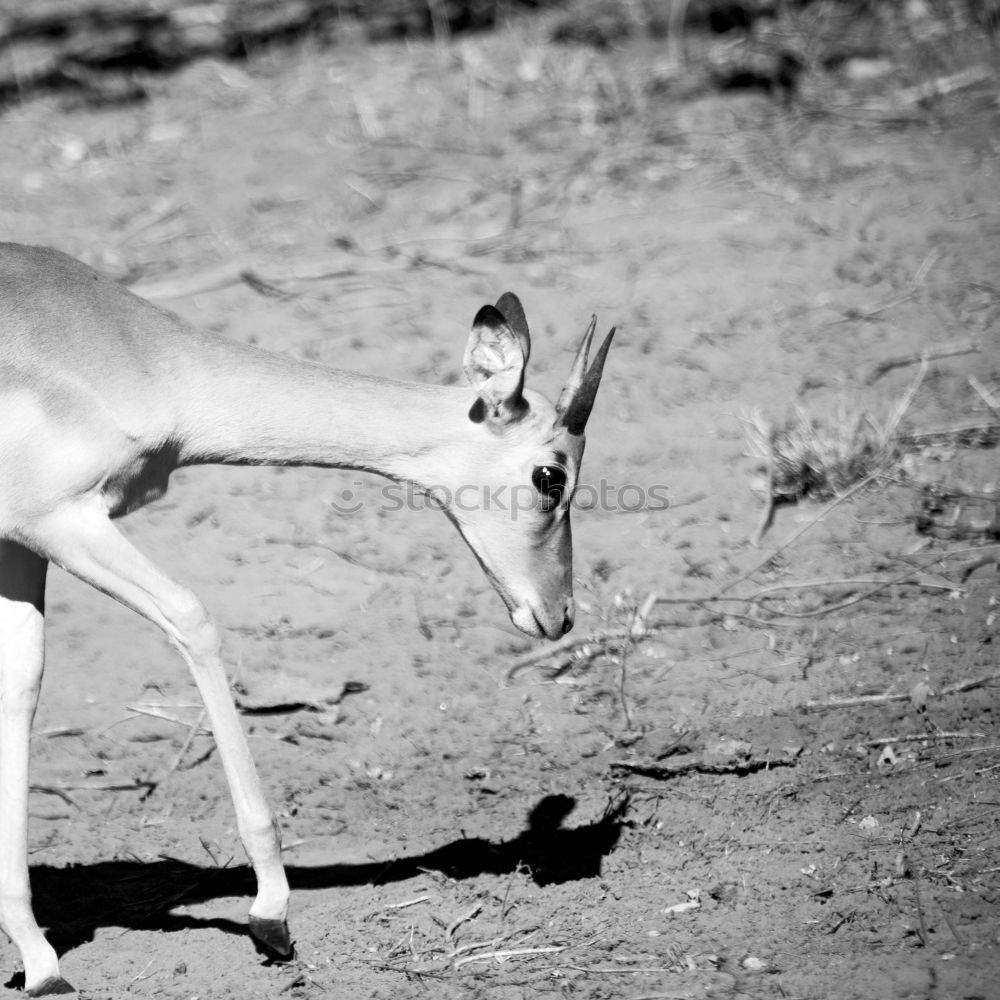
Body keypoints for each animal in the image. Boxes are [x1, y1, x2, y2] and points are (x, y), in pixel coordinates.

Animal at [0, 244, 616, 992]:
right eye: (551, 475)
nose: (558, 615)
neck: (124, 349)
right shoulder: (62, 523)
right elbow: (192, 618)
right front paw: (271, 915)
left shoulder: (21, 543)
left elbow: (21, 687)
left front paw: (39, 959)